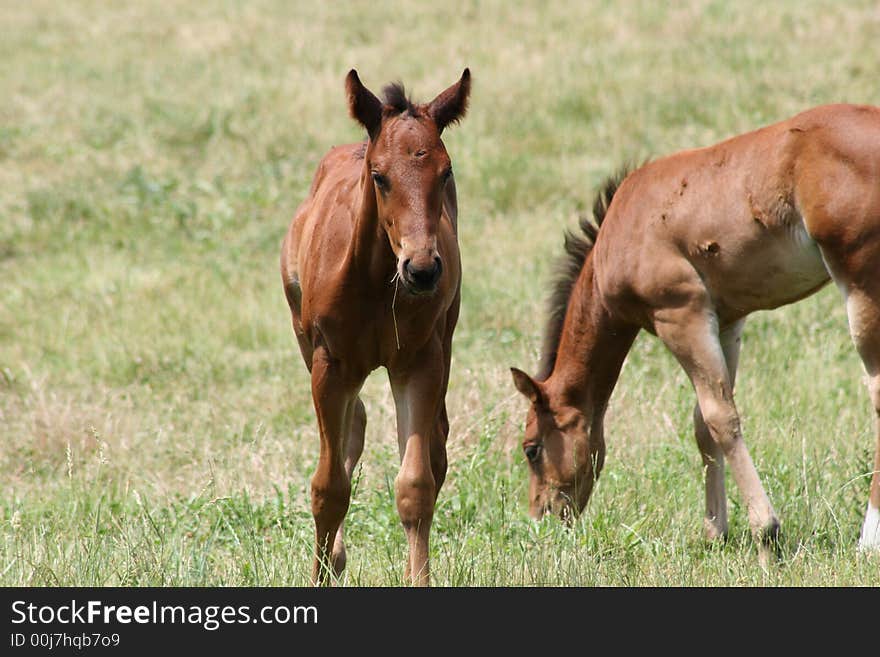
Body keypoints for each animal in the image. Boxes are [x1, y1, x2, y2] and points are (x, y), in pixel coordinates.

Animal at [284, 72, 474, 584]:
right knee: (355, 427)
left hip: (445, 339)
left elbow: (415, 484)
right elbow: (328, 488)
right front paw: (320, 572)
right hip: (307, 342)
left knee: (434, 446)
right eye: (379, 176)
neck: (373, 282)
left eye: (446, 173)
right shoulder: (330, 363)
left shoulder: (418, 361)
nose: (423, 270)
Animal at [512, 104, 880, 564]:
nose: (541, 518)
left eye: (531, 449)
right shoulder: (725, 321)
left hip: (862, 283)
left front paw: (766, 535)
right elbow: (704, 424)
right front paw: (715, 532)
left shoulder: (679, 314)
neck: (620, 232)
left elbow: (721, 417)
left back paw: (868, 541)